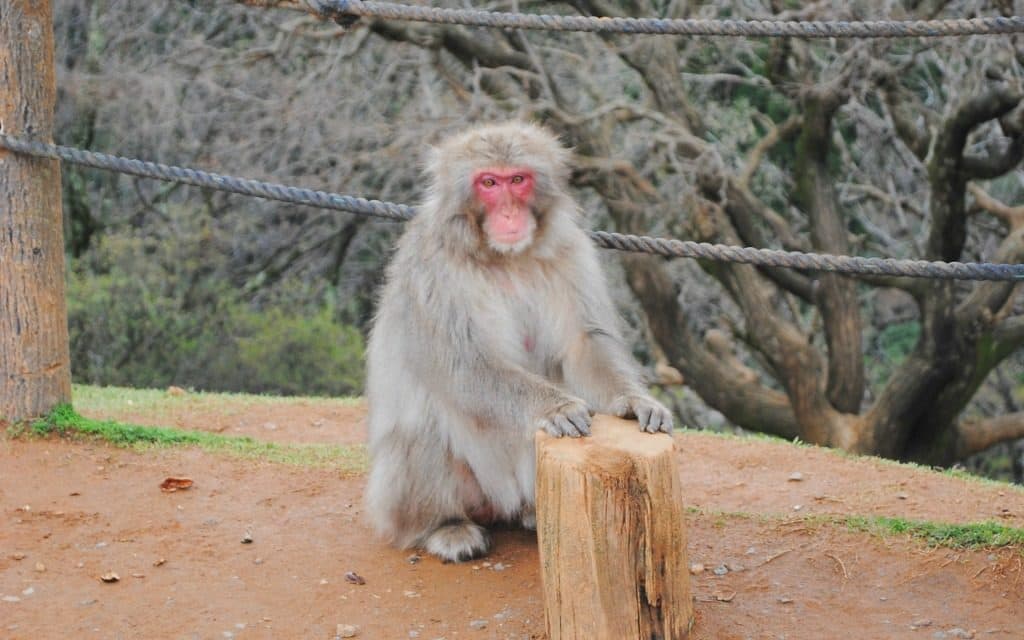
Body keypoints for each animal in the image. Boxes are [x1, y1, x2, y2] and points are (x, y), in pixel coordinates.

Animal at [364, 121, 673, 563]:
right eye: (489, 183)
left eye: (518, 180)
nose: (509, 212)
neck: (504, 256)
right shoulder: (433, 268)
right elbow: (466, 366)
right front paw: (557, 407)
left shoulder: (570, 250)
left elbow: (584, 343)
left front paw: (634, 402)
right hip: (410, 498)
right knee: (423, 421)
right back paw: (444, 526)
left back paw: (531, 513)